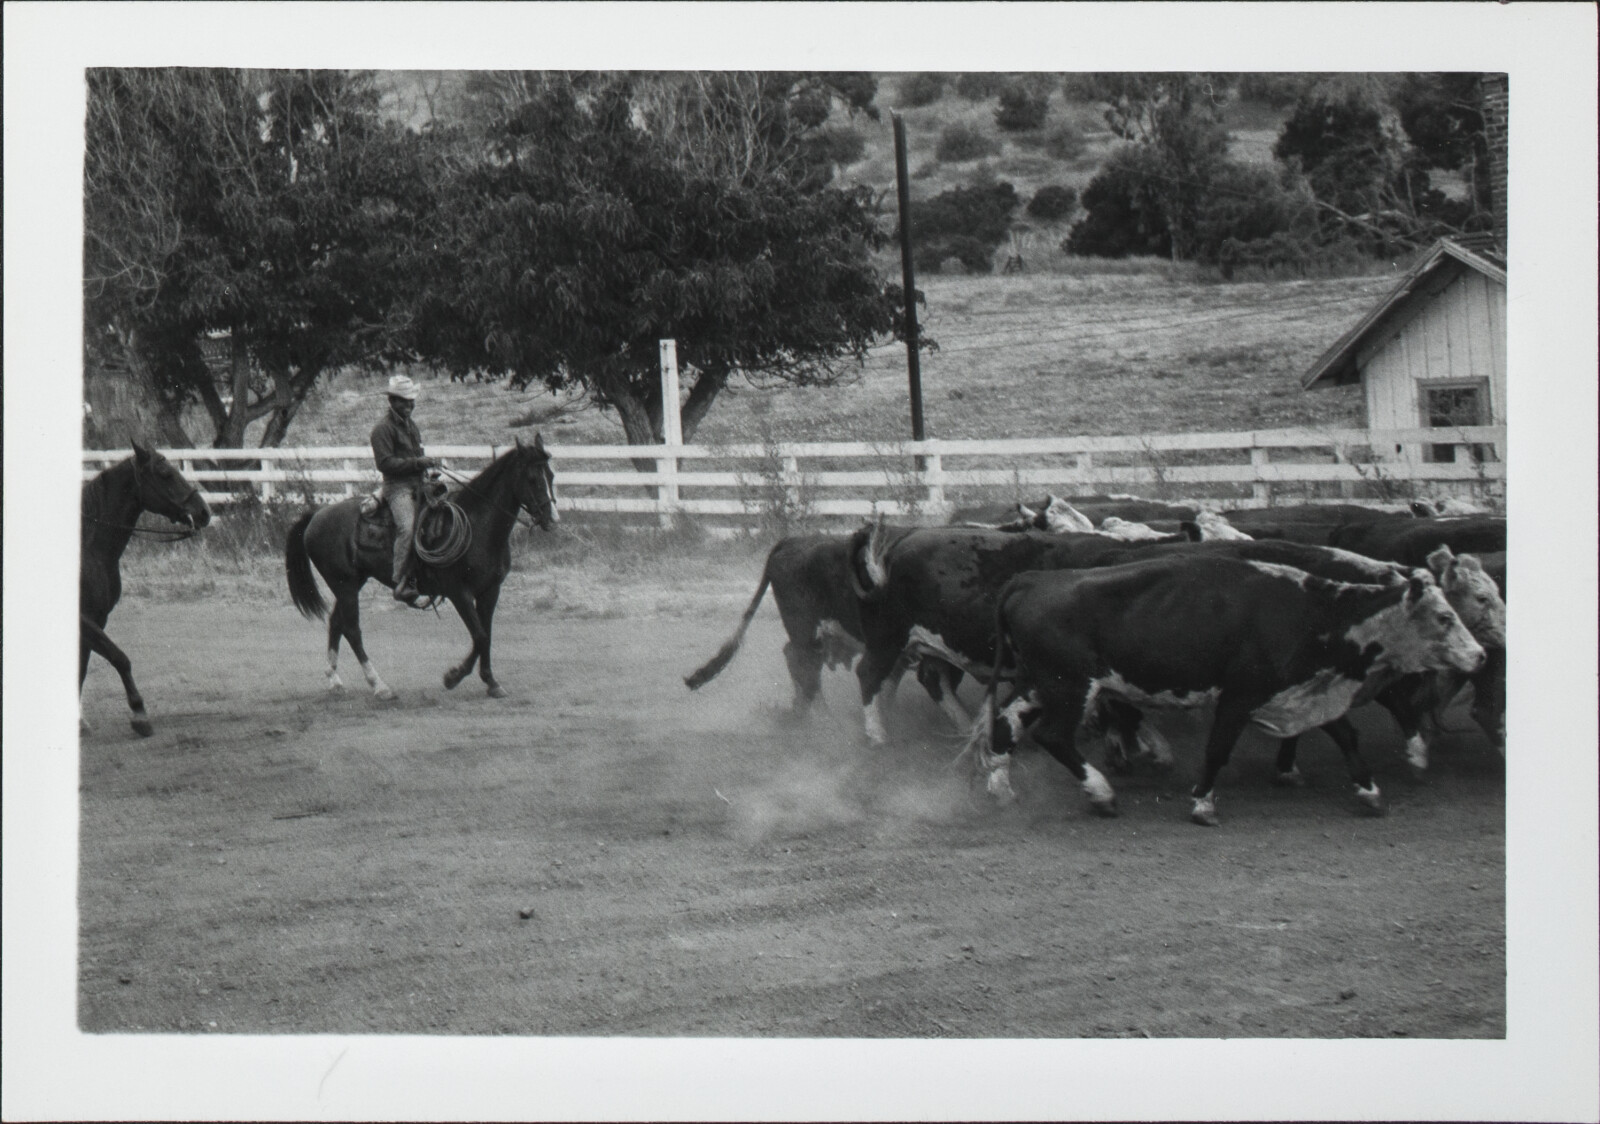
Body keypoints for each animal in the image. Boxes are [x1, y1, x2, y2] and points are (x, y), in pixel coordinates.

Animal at [80, 445, 212, 742]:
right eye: (165, 474)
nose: (203, 512)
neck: (87, 548)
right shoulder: (84, 620)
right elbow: (119, 658)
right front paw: (140, 714)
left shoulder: (98, 618)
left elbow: (81, 667)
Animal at [284, 435, 560, 701]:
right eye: (533, 478)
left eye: (551, 476)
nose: (553, 520)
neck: (476, 525)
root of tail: (316, 515)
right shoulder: (458, 592)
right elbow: (480, 635)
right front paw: (453, 676)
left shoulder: (490, 591)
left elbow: (486, 635)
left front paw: (491, 682)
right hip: (344, 584)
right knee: (352, 629)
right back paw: (379, 686)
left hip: (352, 584)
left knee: (336, 622)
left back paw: (334, 680)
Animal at [960, 553, 1484, 826]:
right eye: (1444, 617)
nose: (1479, 655)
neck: (1307, 612)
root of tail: (1031, 580)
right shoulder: (1239, 696)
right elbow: (1217, 749)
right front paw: (1202, 803)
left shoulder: (1305, 689)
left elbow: (1347, 736)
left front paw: (1371, 791)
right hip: (1070, 686)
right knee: (1052, 736)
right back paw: (1101, 793)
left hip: (1038, 683)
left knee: (1005, 725)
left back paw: (1003, 790)